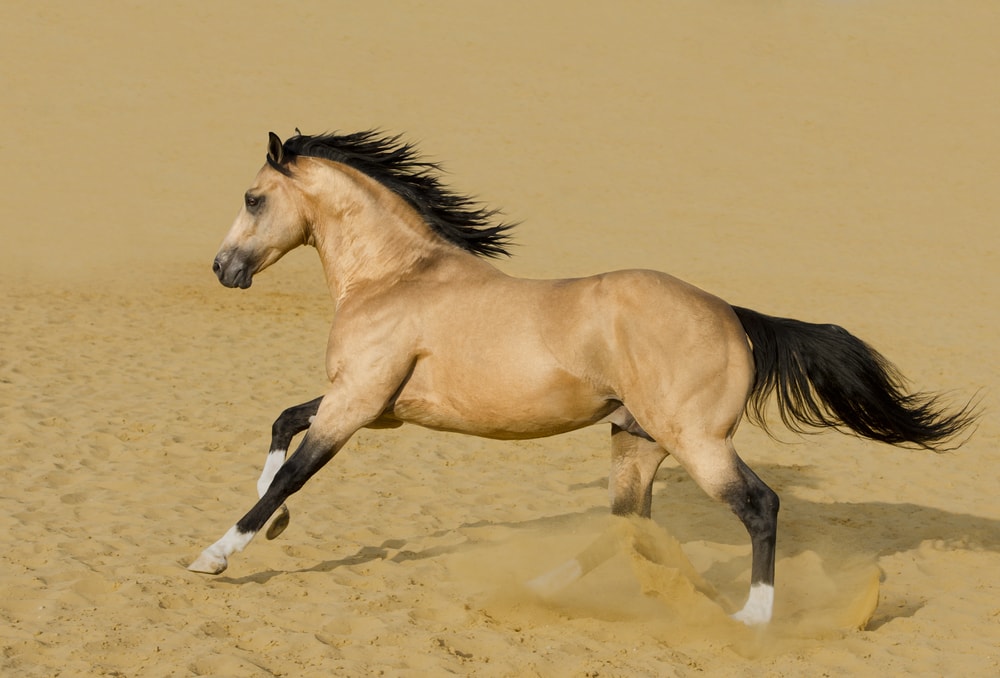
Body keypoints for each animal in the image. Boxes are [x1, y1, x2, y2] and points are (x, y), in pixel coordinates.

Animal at [189, 130, 978, 625]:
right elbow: (282, 426)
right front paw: (273, 522)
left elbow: (295, 471)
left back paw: (752, 617)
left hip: (698, 443)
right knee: (626, 527)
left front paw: (217, 555)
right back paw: (540, 589)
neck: (397, 277)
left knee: (760, 506)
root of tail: (733, 315)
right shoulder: (372, 404)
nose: (223, 269)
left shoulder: (356, 404)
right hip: (636, 441)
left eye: (253, 198)